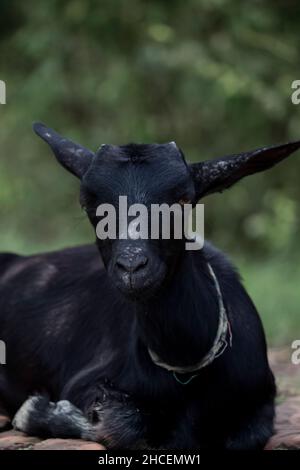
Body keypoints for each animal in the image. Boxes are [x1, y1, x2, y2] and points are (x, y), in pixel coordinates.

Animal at [0, 123, 298, 450]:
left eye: (183, 201)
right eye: (90, 206)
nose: (132, 267)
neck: (184, 363)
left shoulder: (260, 406)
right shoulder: (86, 380)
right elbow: (122, 424)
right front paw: (35, 410)